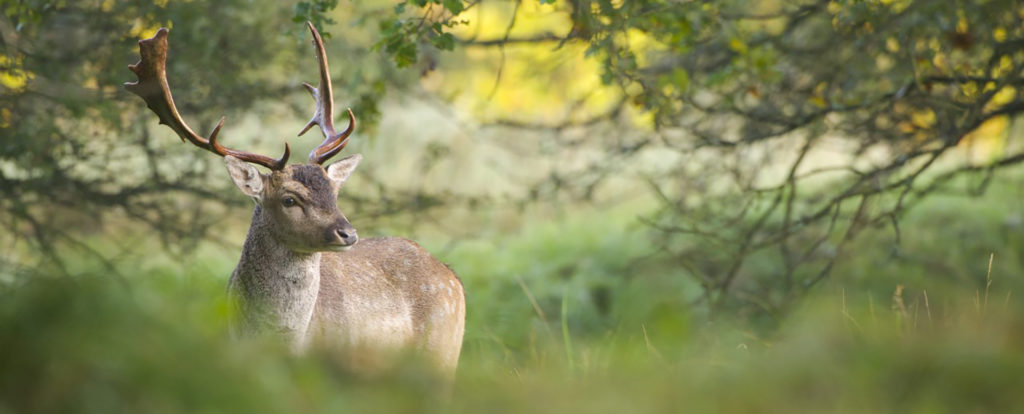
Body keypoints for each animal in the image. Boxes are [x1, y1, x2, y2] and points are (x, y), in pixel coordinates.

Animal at [120, 23, 468, 379]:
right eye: (289, 200)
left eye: (333, 193)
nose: (348, 233)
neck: (278, 343)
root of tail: (451, 275)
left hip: (442, 357)